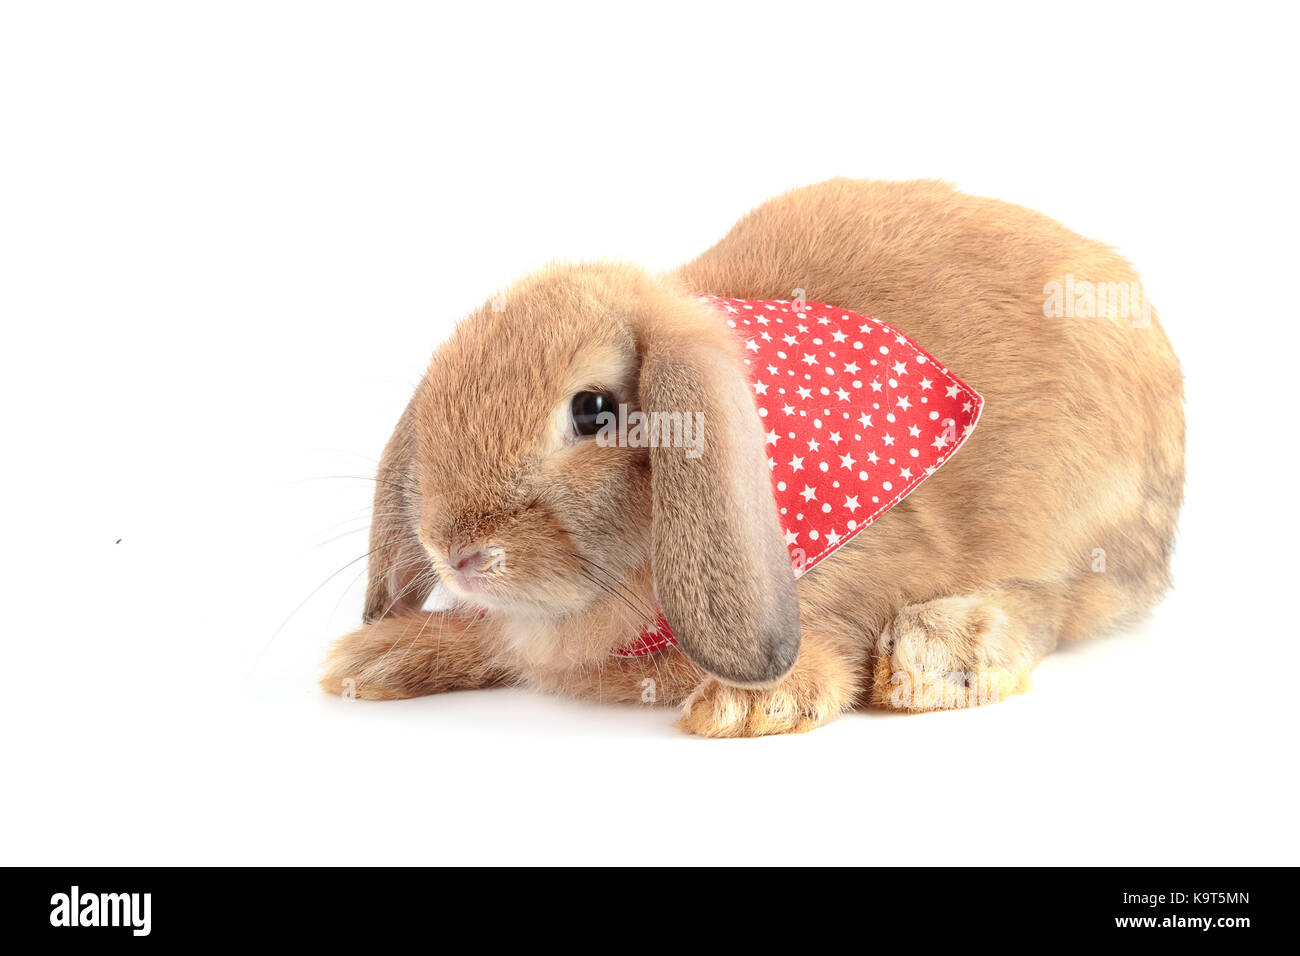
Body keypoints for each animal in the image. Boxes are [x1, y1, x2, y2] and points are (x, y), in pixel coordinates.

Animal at [318, 178, 1185, 737]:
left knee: (1054, 603)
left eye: (593, 410)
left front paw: (756, 704)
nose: (455, 549)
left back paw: (937, 652)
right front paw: (370, 660)